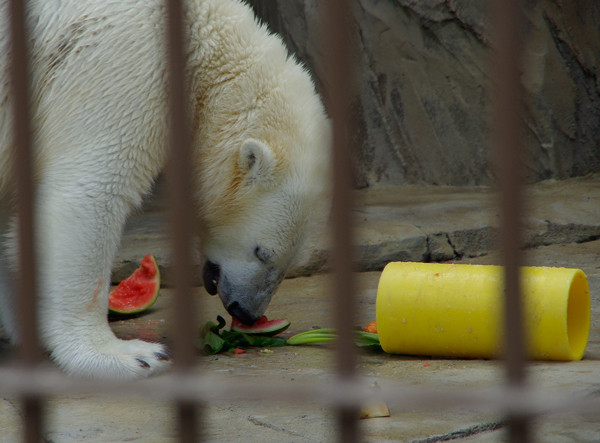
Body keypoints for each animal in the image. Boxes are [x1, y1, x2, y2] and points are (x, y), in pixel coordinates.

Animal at [0, 0, 328, 380]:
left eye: (290, 260)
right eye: (262, 252)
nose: (245, 311)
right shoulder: (127, 63)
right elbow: (88, 195)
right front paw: (127, 355)